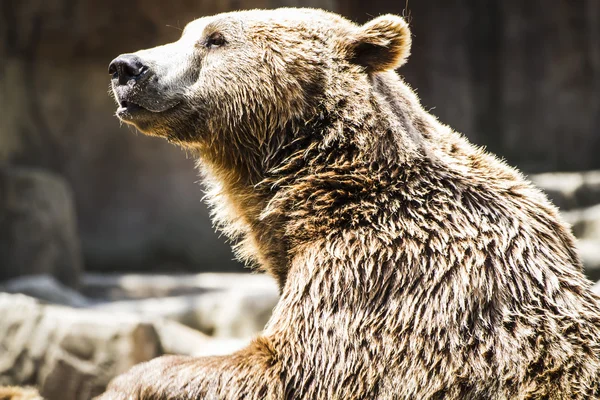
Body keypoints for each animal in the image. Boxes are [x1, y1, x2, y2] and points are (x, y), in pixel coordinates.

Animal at [101, 7, 600, 400]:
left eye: (215, 38)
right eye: (186, 31)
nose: (126, 67)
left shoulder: (381, 274)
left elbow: (288, 370)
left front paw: (126, 382)